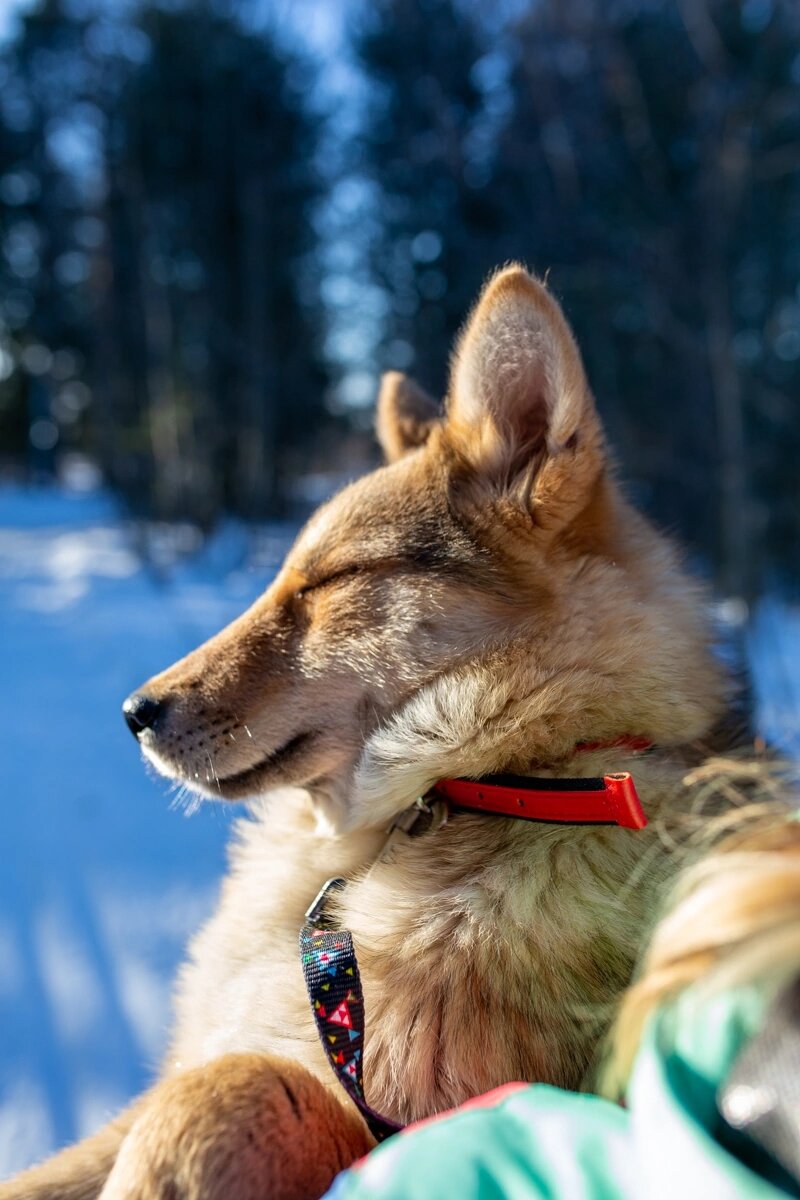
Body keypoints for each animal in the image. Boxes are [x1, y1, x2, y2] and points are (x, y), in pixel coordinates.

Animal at [4, 270, 734, 1200]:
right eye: (285, 576)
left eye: (327, 582)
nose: (135, 712)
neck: (483, 785)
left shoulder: (384, 1114)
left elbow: (234, 1087)